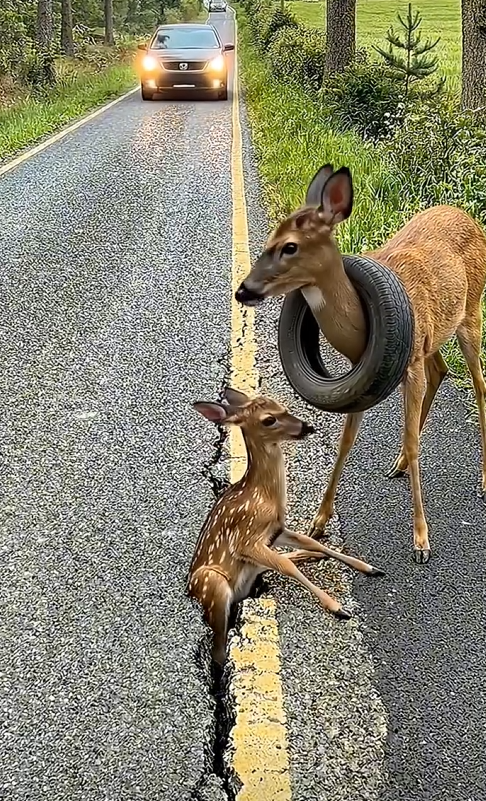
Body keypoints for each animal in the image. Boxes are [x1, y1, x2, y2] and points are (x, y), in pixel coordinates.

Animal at [187, 386, 385, 665]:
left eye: (283, 407)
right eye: (269, 419)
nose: (307, 426)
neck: (263, 495)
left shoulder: (276, 531)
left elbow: (311, 541)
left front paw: (367, 566)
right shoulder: (246, 540)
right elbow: (286, 565)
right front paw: (337, 607)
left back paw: (312, 556)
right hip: (211, 582)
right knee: (218, 644)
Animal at [235, 165, 486, 564]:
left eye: (290, 246)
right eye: (270, 240)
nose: (244, 290)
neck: (360, 328)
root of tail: (469, 218)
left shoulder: (404, 366)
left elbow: (413, 441)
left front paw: (421, 540)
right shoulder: (364, 377)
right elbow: (346, 442)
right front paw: (319, 522)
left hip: (471, 313)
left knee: (479, 386)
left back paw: (482, 482)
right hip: (432, 338)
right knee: (441, 370)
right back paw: (398, 465)